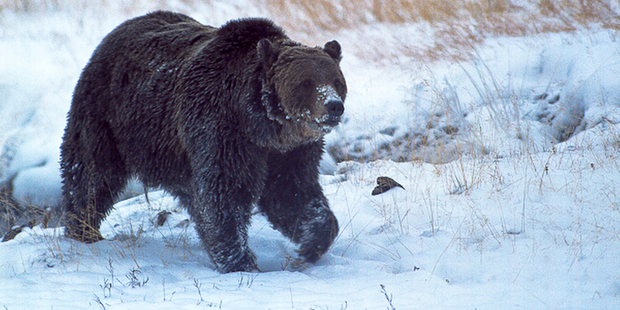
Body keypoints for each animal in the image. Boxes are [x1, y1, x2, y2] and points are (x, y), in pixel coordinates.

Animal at [60, 10, 346, 272]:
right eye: (306, 82)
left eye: (336, 80)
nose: (334, 106)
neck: (264, 127)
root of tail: (117, 30)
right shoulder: (221, 130)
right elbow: (224, 193)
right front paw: (240, 261)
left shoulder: (291, 152)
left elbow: (292, 193)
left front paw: (309, 244)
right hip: (109, 116)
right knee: (91, 172)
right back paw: (83, 229)